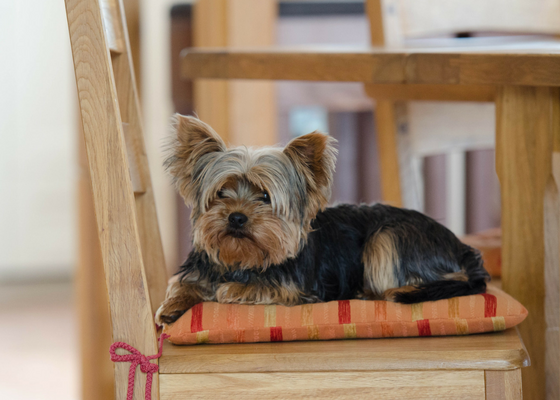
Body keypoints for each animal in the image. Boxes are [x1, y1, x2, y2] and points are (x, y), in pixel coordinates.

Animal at [154, 115, 490, 324]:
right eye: (221, 193)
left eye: (265, 197)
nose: (236, 217)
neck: (242, 260)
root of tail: (461, 247)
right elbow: (182, 285)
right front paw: (171, 307)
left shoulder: (297, 289)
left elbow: (251, 288)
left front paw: (231, 290)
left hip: (389, 238)